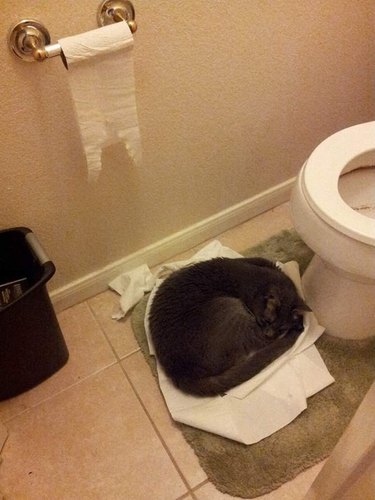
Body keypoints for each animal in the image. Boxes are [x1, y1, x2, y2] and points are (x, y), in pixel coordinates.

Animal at [150, 258, 312, 394]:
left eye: (281, 328)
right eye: (266, 321)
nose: (270, 334)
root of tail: (180, 373)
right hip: (231, 307)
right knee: (260, 343)